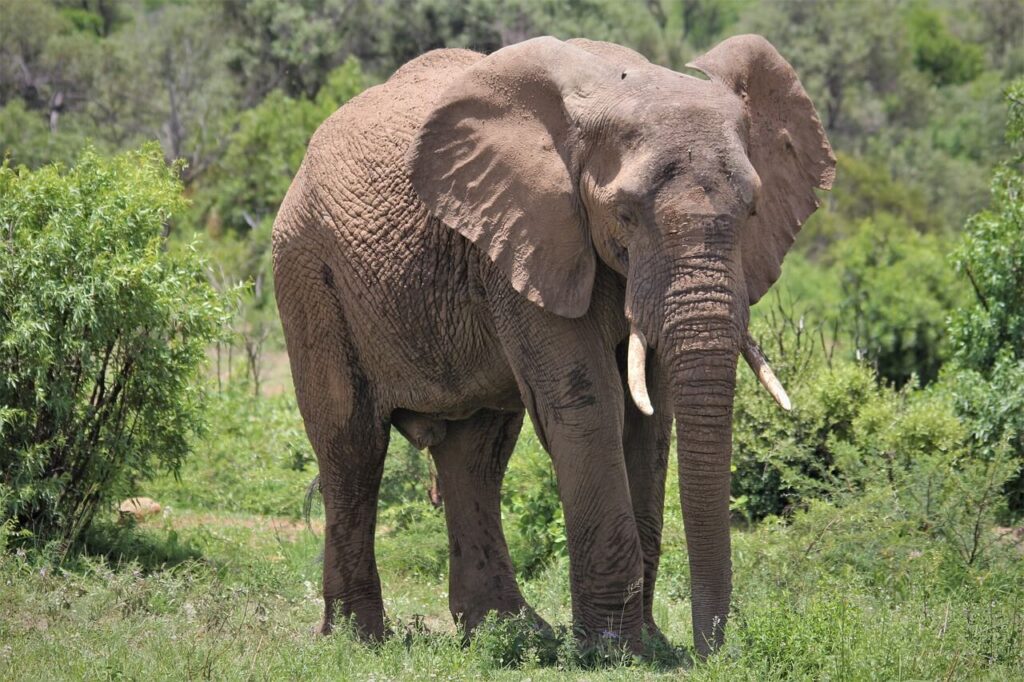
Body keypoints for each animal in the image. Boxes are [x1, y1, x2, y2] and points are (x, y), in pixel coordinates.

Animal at [272, 34, 834, 658]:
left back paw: (509, 633)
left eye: (753, 210)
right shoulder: (526, 239)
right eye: (625, 214)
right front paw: (614, 653)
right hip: (308, 270)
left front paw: (648, 645)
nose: (711, 652)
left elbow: (649, 419)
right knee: (351, 445)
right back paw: (361, 641)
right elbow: (589, 408)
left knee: (477, 454)